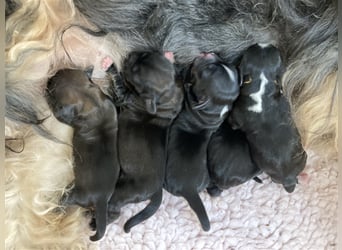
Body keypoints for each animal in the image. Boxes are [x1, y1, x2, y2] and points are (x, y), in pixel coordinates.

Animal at [45, 69, 120, 241]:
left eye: (53, 85)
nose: (49, 79)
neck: (90, 99)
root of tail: (100, 200)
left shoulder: (66, 114)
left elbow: (58, 113)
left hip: (74, 194)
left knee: (65, 201)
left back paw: (56, 209)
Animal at [107, 50, 184, 232]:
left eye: (134, 71)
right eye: (146, 53)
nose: (130, 55)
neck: (167, 95)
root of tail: (157, 192)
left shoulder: (126, 96)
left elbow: (118, 83)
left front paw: (111, 65)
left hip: (123, 191)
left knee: (114, 209)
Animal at [164, 52, 239, 230]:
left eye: (208, 70)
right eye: (221, 63)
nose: (210, 53)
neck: (216, 108)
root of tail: (189, 188)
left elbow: (183, 86)